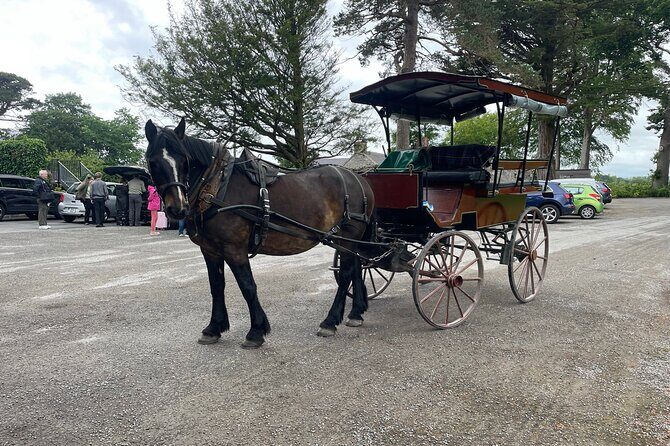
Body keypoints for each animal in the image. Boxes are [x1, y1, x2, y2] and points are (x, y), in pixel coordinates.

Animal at [144, 118, 375, 348]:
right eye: (153, 162)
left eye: (184, 160)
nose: (177, 209)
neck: (217, 186)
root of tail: (359, 179)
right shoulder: (210, 250)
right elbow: (217, 286)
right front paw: (214, 327)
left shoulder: (234, 248)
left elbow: (247, 286)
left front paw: (256, 331)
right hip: (348, 240)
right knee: (357, 268)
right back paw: (355, 313)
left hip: (346, 237)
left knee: (345, 275)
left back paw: (330, 321)